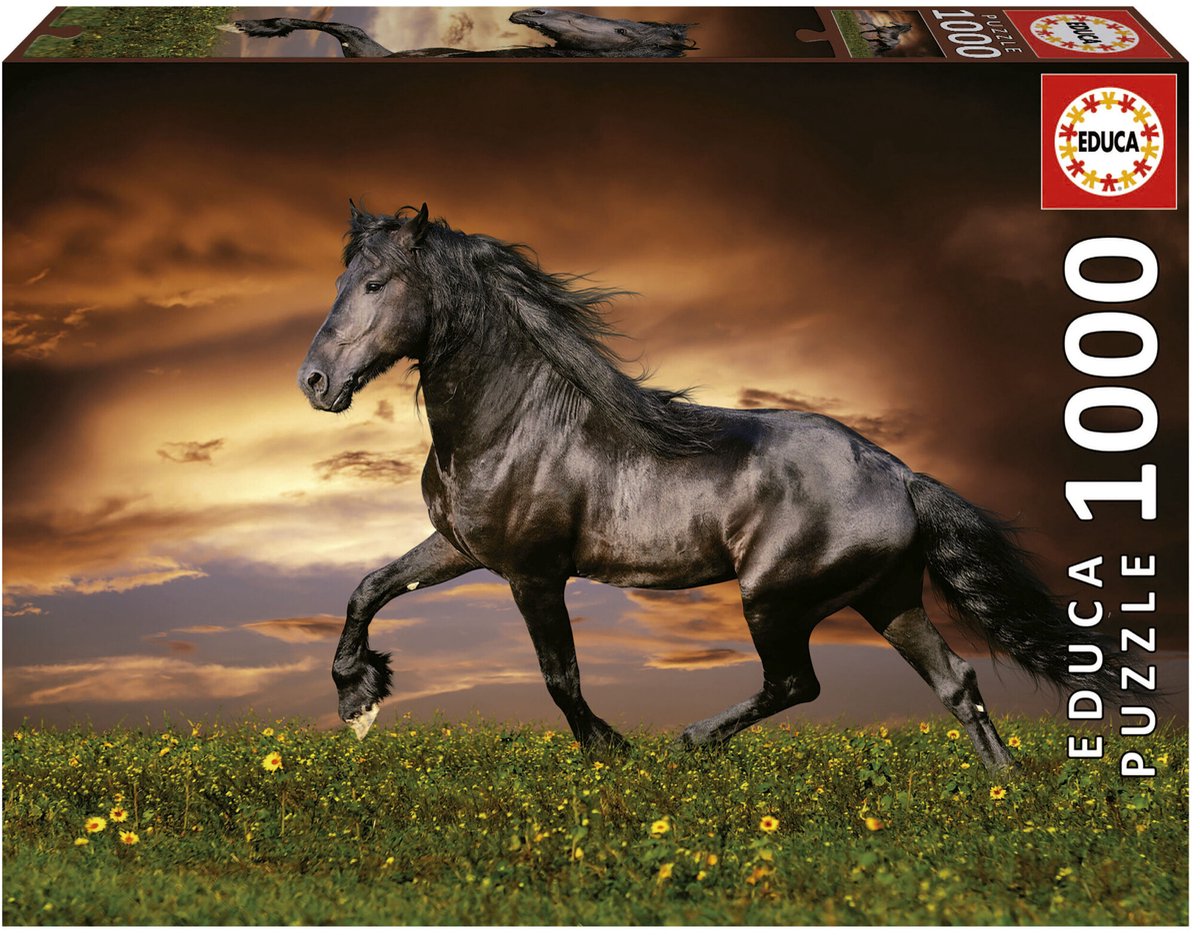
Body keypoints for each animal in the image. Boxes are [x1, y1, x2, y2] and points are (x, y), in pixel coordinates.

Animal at [298, 203, 1134, 770]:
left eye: (375, 282)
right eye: (338, 278)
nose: (314, 381)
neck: (514, 421)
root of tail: (899, 474)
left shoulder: (533, 572)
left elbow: (560, 675)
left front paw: (612, 751)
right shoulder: (460, 546)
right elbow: (369, 588)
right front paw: (357, 695)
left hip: (775, 597)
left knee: (797, 682)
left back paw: (691, 740)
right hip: (886, 596)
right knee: (955, 681)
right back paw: (1005, 786)